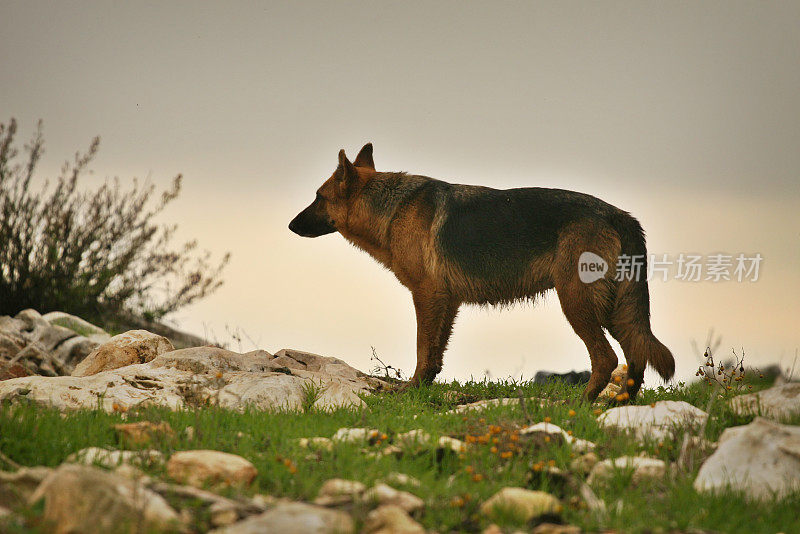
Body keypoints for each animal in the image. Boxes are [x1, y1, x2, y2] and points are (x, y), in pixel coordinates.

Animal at [290, 143, 676, 402]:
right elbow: (435, 355)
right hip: (614, 309)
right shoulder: (447, 302)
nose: (291, 226)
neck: (393, 207)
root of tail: (620, 215)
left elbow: (421, 349)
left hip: (578, 305)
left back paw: (580, 405)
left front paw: (411, 390)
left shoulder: (426, 296)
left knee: (607, 357)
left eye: (318, 197)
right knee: (636, 354)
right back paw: (619, 405)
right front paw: (424, 389)